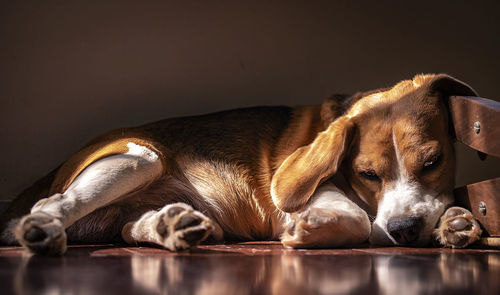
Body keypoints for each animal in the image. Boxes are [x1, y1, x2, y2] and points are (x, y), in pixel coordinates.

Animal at [0, 73, 484, 254]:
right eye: (367, 175)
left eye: (434, 160)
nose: (404, 231)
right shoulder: (305, 193)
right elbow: (357, 219)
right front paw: (308, 229)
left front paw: (456, 222)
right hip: (139, 157)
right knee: (53, 206)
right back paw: (40, 231)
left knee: (128, 228)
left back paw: (173, 226)